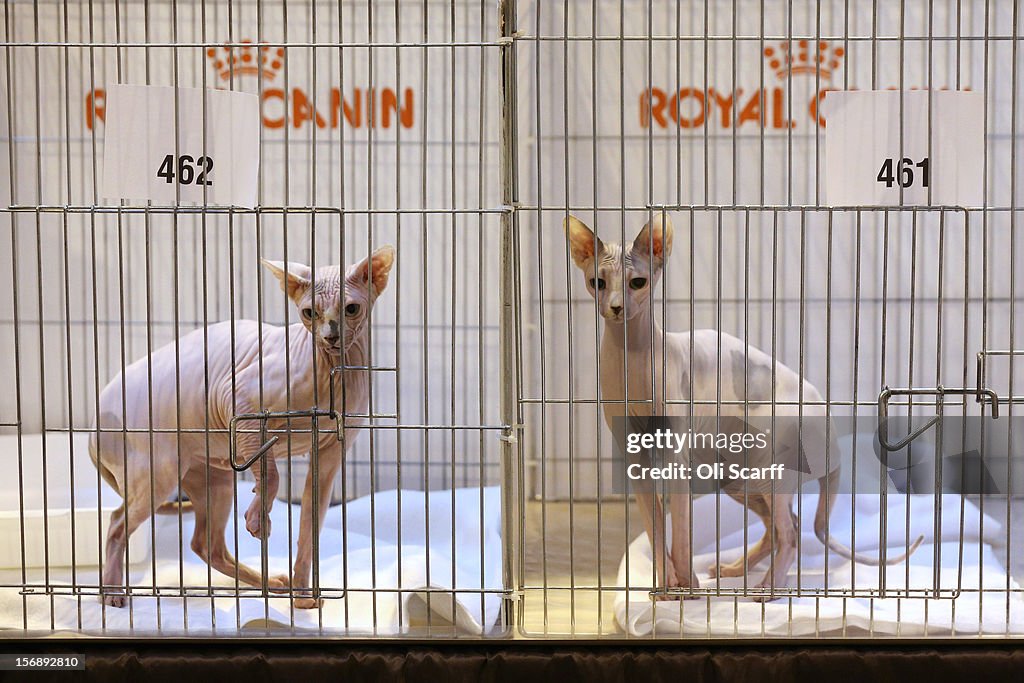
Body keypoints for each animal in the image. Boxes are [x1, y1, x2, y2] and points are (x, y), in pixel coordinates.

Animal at [89, 246, 395, 610]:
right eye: (310, 313)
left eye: (351, 309)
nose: (330, 336)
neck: (333, 370)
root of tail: (93, 426)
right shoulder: (239, 402)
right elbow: (271, 475)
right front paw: (257, 519)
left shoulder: (332, 452)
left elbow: (311, 527)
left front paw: (303, 597)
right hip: (157, 472)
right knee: (117, 523)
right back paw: (111, 592)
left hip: (213, 478)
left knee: (206, 545)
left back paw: (272, 585)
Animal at [565, 215, 925, 602]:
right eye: (598, 283)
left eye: (637, 282)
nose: (616, 307)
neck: (631, 359)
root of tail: (833, 438)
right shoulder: (635, 456)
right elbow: (655, 528)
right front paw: (666, 587)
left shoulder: (678, 453)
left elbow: (680, 530)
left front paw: (687, 588)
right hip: (737, 478)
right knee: (782, 526)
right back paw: (736, 570)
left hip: (772, 469)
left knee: (791, 533)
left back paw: (769, 589)